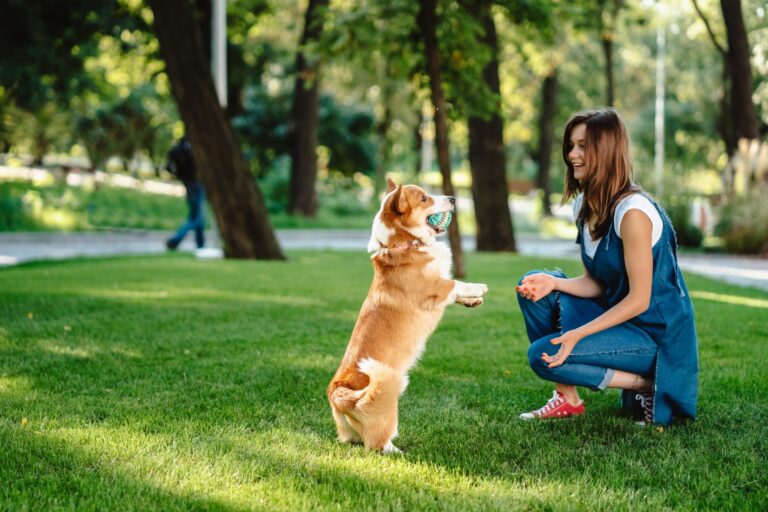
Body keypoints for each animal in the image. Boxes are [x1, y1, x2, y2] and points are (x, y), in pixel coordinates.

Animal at [328, 179, 488, 452]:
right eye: (424, 199)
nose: (453, 199)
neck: (403, 242)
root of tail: (338, 393)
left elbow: (457, 291)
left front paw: (472, 300)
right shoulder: (435, 288)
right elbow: (456, 284)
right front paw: (478, 288)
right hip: (386, 404)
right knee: (378, 443)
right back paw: (398, 451)